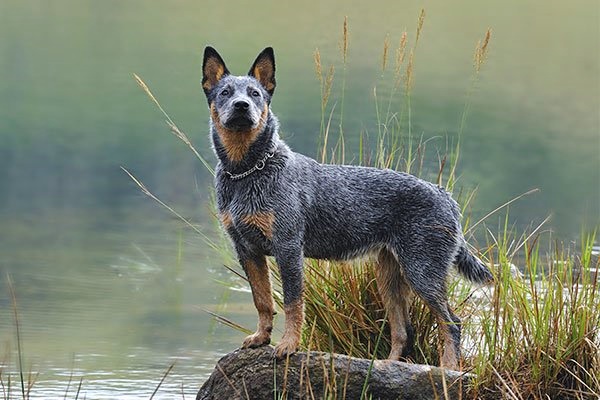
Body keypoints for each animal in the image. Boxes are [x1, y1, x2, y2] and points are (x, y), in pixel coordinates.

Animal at [202, 46, 492, 368]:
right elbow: (262, 300)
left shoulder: (288, 248)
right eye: (225, 92)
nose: (241, 106)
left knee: (451, 322)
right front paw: (261, 338)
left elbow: (292, 303)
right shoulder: (247, 250)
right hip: (390, 277)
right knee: (403, 330)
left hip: (422, 271)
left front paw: (288, 344)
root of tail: (446, 196)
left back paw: (448, 369)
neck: (247, 172)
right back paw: (386, 365)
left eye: (255, 94)